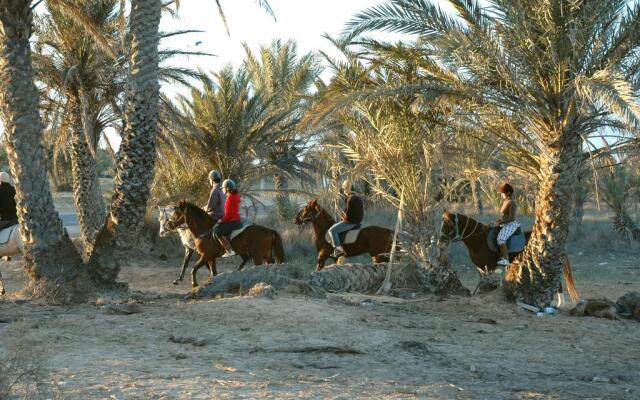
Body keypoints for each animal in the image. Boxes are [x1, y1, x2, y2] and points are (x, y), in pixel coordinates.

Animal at [440, 209, 580, 304]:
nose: (441, 241)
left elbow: (489, 282)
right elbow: (482, 281)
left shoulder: (489, 266)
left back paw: (560, 303)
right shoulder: (480, 267)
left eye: (448, 225)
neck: (479, 239)